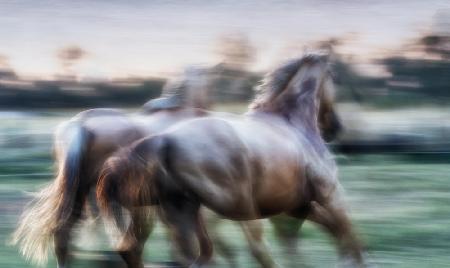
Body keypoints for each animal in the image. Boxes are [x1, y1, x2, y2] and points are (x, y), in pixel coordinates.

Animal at [95, 53, 358, 266]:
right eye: (333, 76)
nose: (335, 127)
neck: (291, 122)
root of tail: (164, 140)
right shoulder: (331, 195)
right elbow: (348, 236)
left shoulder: (297, 207)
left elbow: (327, 234)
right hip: (239, 209)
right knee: (250, 251)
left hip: (182, 212)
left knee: (182, 254)